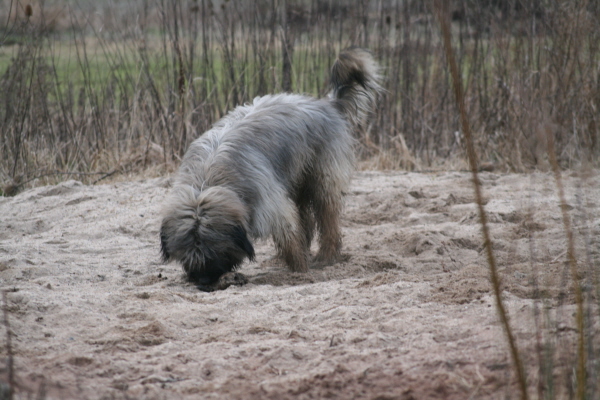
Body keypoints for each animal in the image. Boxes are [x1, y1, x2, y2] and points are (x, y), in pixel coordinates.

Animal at [161, 47, 380, 288]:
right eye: (186, 253)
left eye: (215, 251)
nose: (203, 281)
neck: (207, 179)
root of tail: (327, 104)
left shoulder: (271, 204)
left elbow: (289, 237)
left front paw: (300, 271)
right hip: (295, 180)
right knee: (305, 218)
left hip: (323, 178)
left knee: (328, 218)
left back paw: (326, 257)